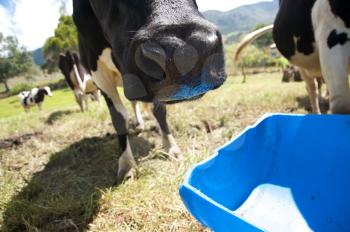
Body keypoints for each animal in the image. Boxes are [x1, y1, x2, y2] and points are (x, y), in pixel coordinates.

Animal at [73, 0, 227, 183]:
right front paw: (126, 164)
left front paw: (171, 147)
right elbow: (118, 117)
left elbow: (159, 111)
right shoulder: (97, 70)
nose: (185, 53)